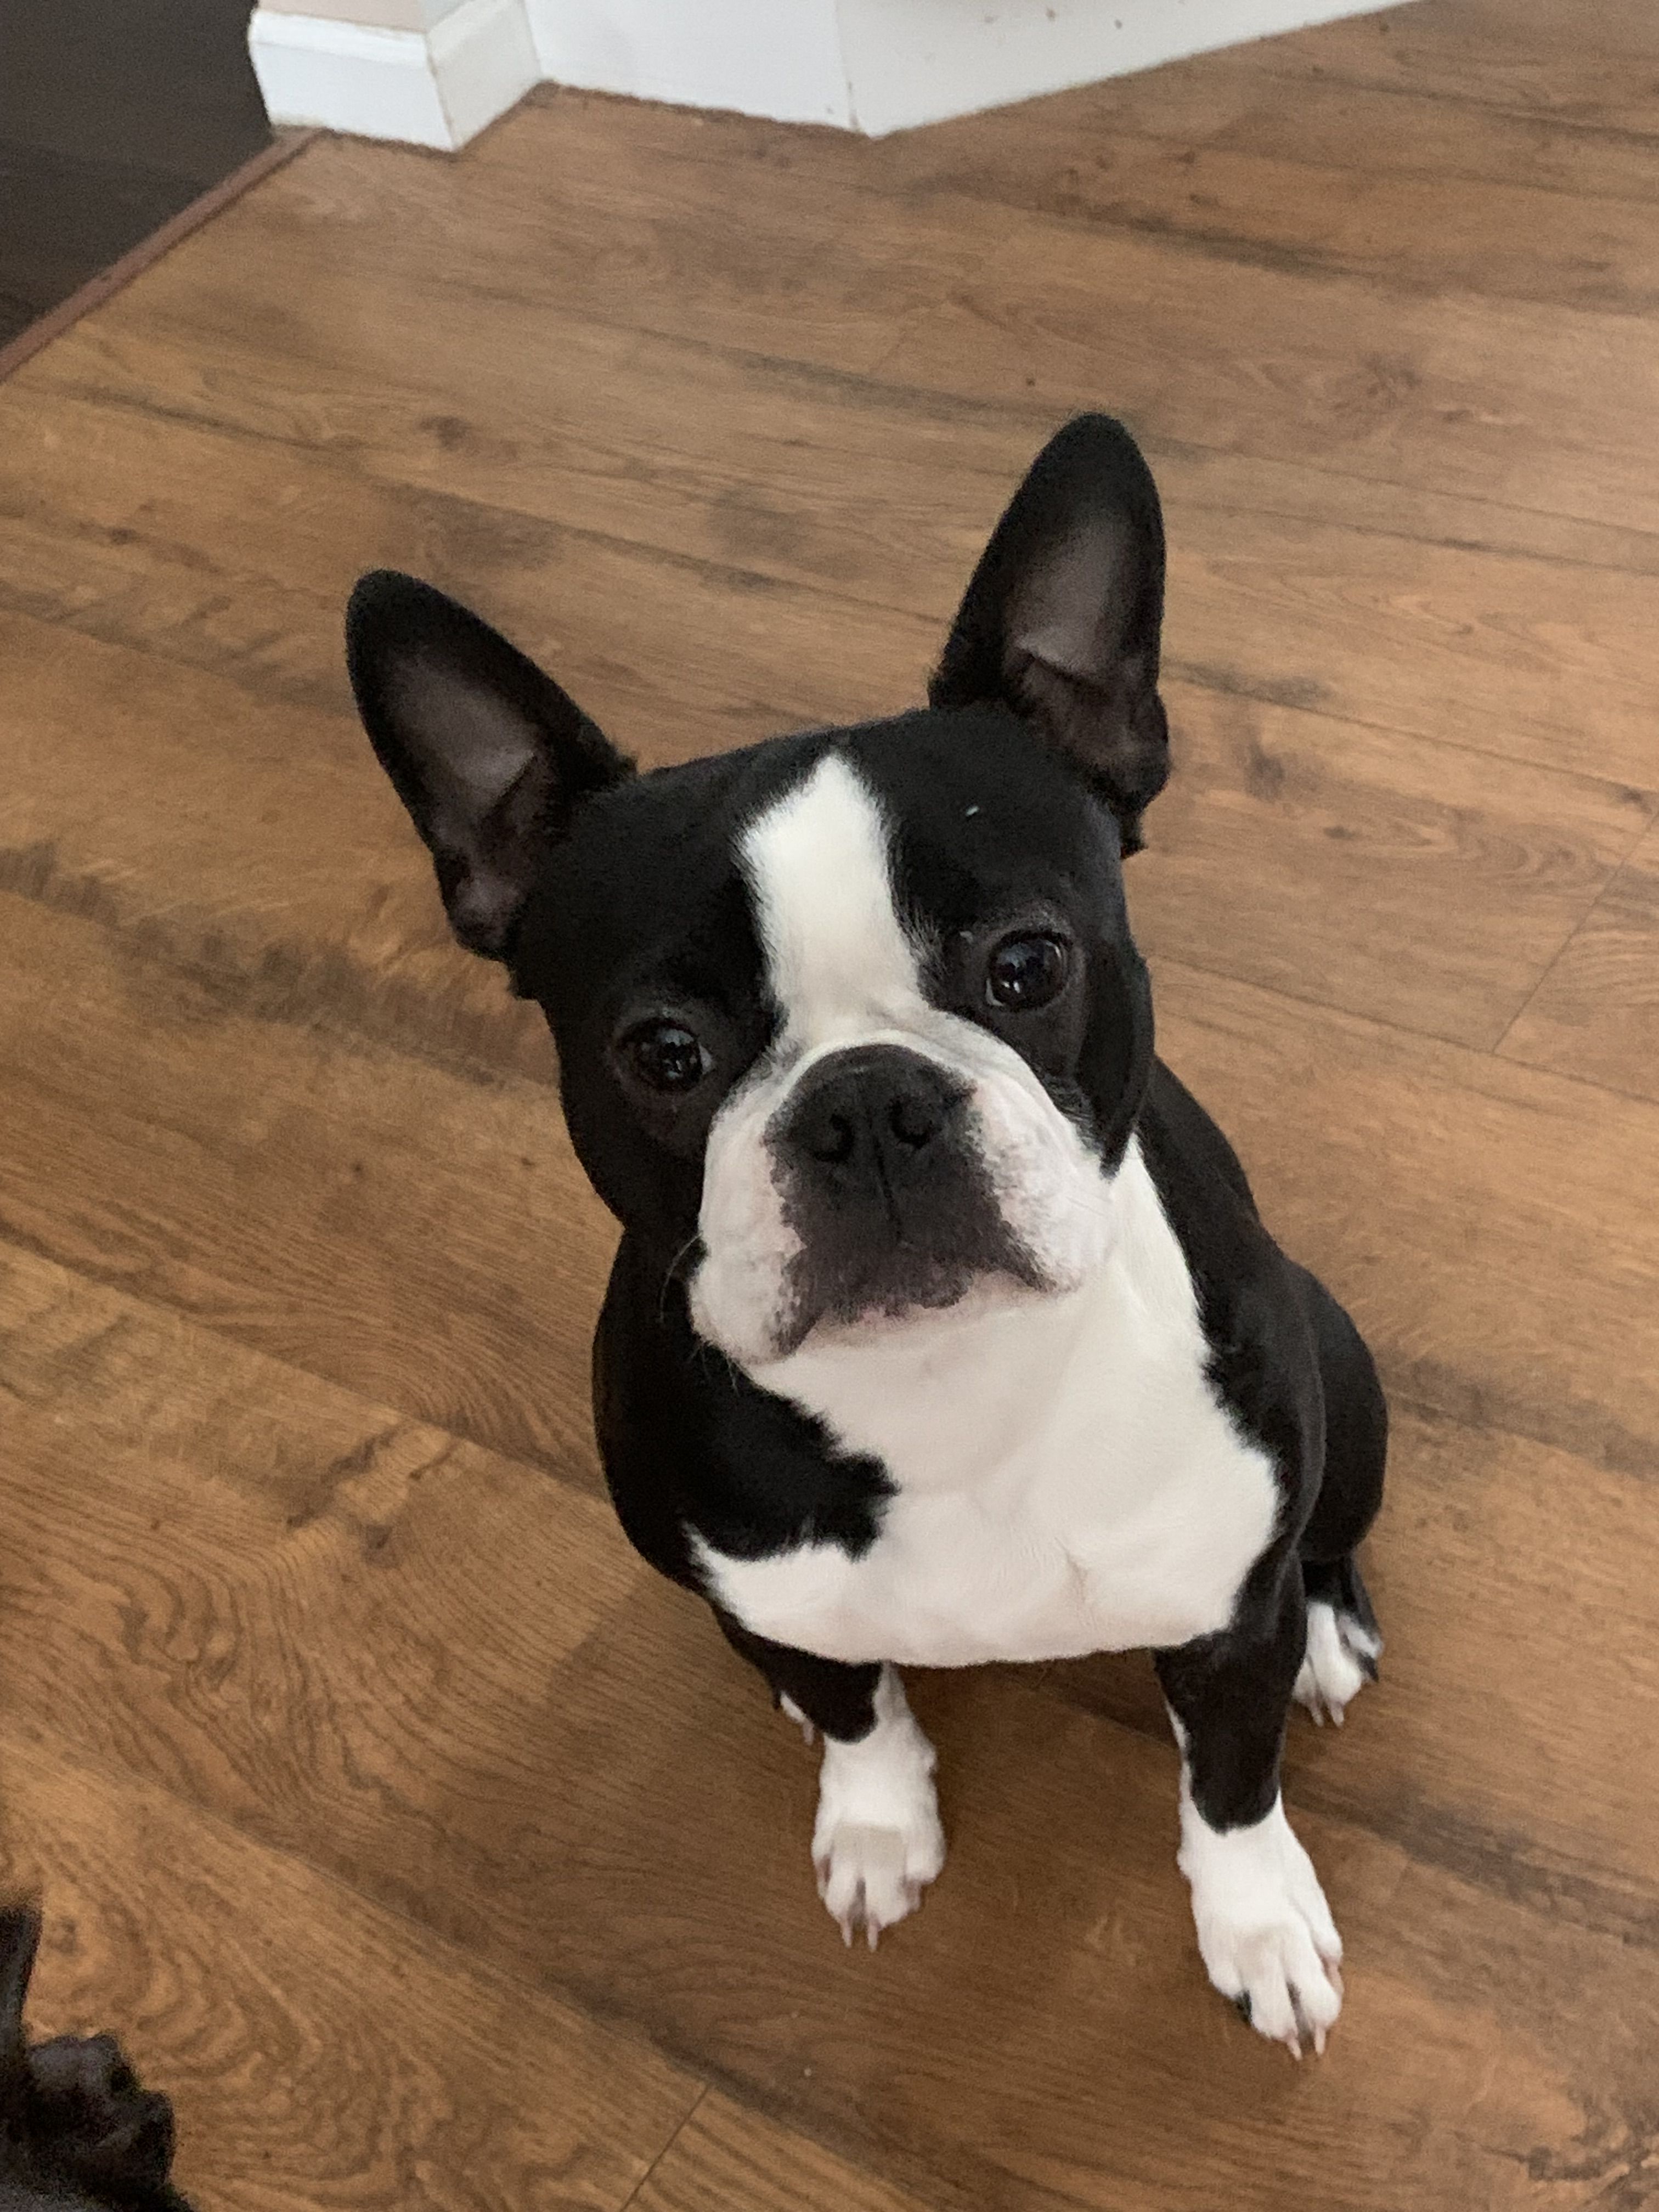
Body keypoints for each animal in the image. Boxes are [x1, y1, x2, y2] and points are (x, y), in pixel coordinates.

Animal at [346, 415, 1386, 2058]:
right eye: (663, 1052)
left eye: (1026, 965)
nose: (865, 1104)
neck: (945, 1388)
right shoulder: (759, 1588)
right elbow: (853, 1709)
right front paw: (879, 1825)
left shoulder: (1228, 1629)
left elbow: (1231, 1786)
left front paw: (1261, 1924)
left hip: (1341, 1370)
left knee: (1329, 1538)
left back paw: (1334, 1633)